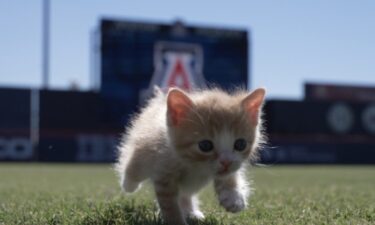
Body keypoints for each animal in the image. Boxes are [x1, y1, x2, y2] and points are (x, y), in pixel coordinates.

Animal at [116, 86, 266, 225]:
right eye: (205, 145)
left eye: (240, 144)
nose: (226, 162)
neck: (195, 165)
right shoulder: (163, 172)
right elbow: (169, 204)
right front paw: (176, 221)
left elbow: (228, 175)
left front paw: (234, 198)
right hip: (142, 153)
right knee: (134, 167)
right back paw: (128, 184)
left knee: (185, 193)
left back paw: (191, 212)